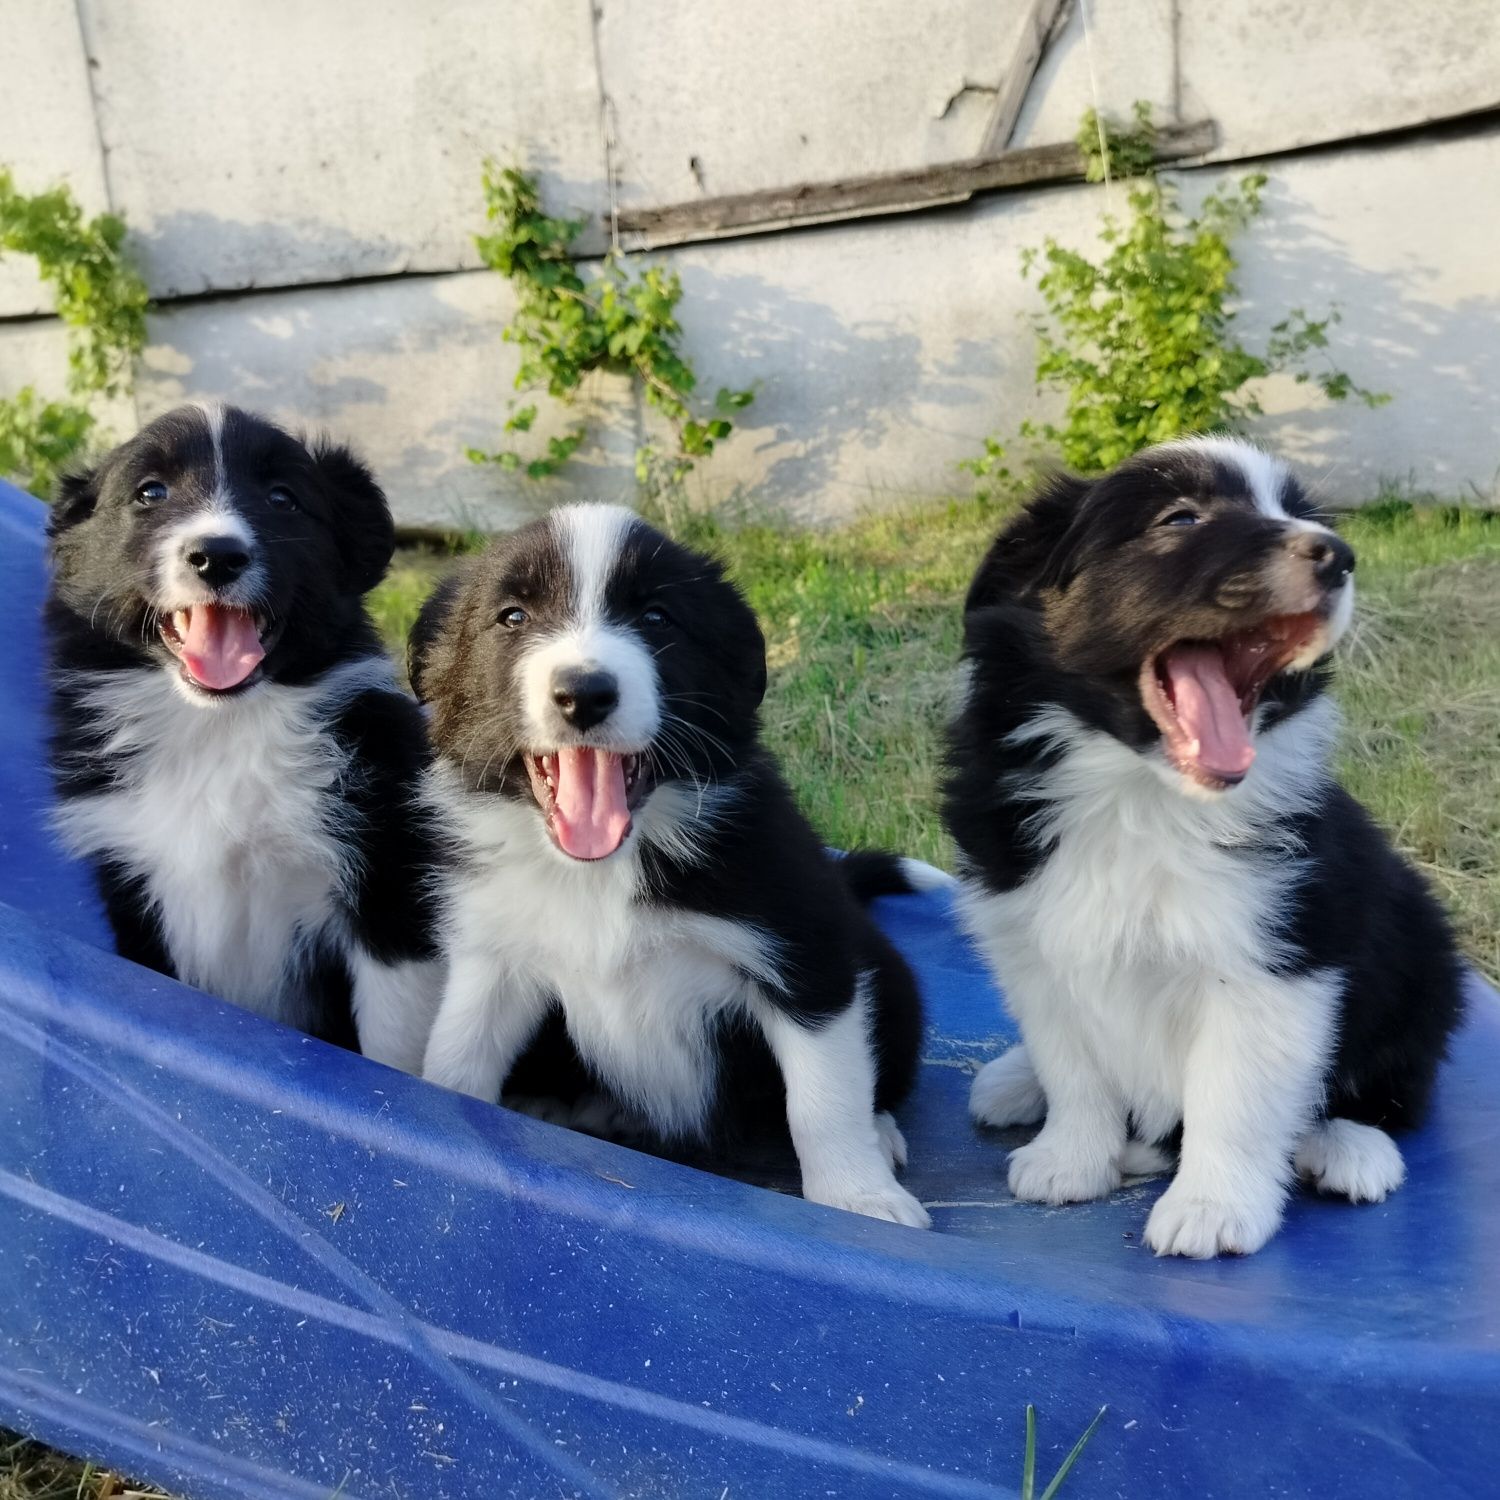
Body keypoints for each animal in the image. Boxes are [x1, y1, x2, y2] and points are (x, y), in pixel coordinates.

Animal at [46, 402, 441, 1068]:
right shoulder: (134, 889)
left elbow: (394, 1049)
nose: (217, 555)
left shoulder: (389, 892)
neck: (219, 728)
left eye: (283, 498)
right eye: (150, 492)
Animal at [405, 507, 930, 1230]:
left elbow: (823, 1096)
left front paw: (860, 1198)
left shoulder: (804, 954)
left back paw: (881, 1134)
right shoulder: (495, 959)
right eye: (512, 617)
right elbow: (458, 1059)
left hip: (889, 976)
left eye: (657, 617)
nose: (584, 694)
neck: (603, 870)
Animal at [948, 438, 1464, 1260]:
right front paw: (1071, 1159)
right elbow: (1074, 1064)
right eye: (1181, 519)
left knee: (1392, 1085)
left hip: (1421, 950)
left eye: (1298, 513)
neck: (1140, 796)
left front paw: (1212, 1209)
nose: (1340, 555)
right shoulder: (1032, 939)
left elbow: (1235, 1095)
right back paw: (1017, 1080)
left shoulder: (1274, 964)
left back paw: (1349, 1148)